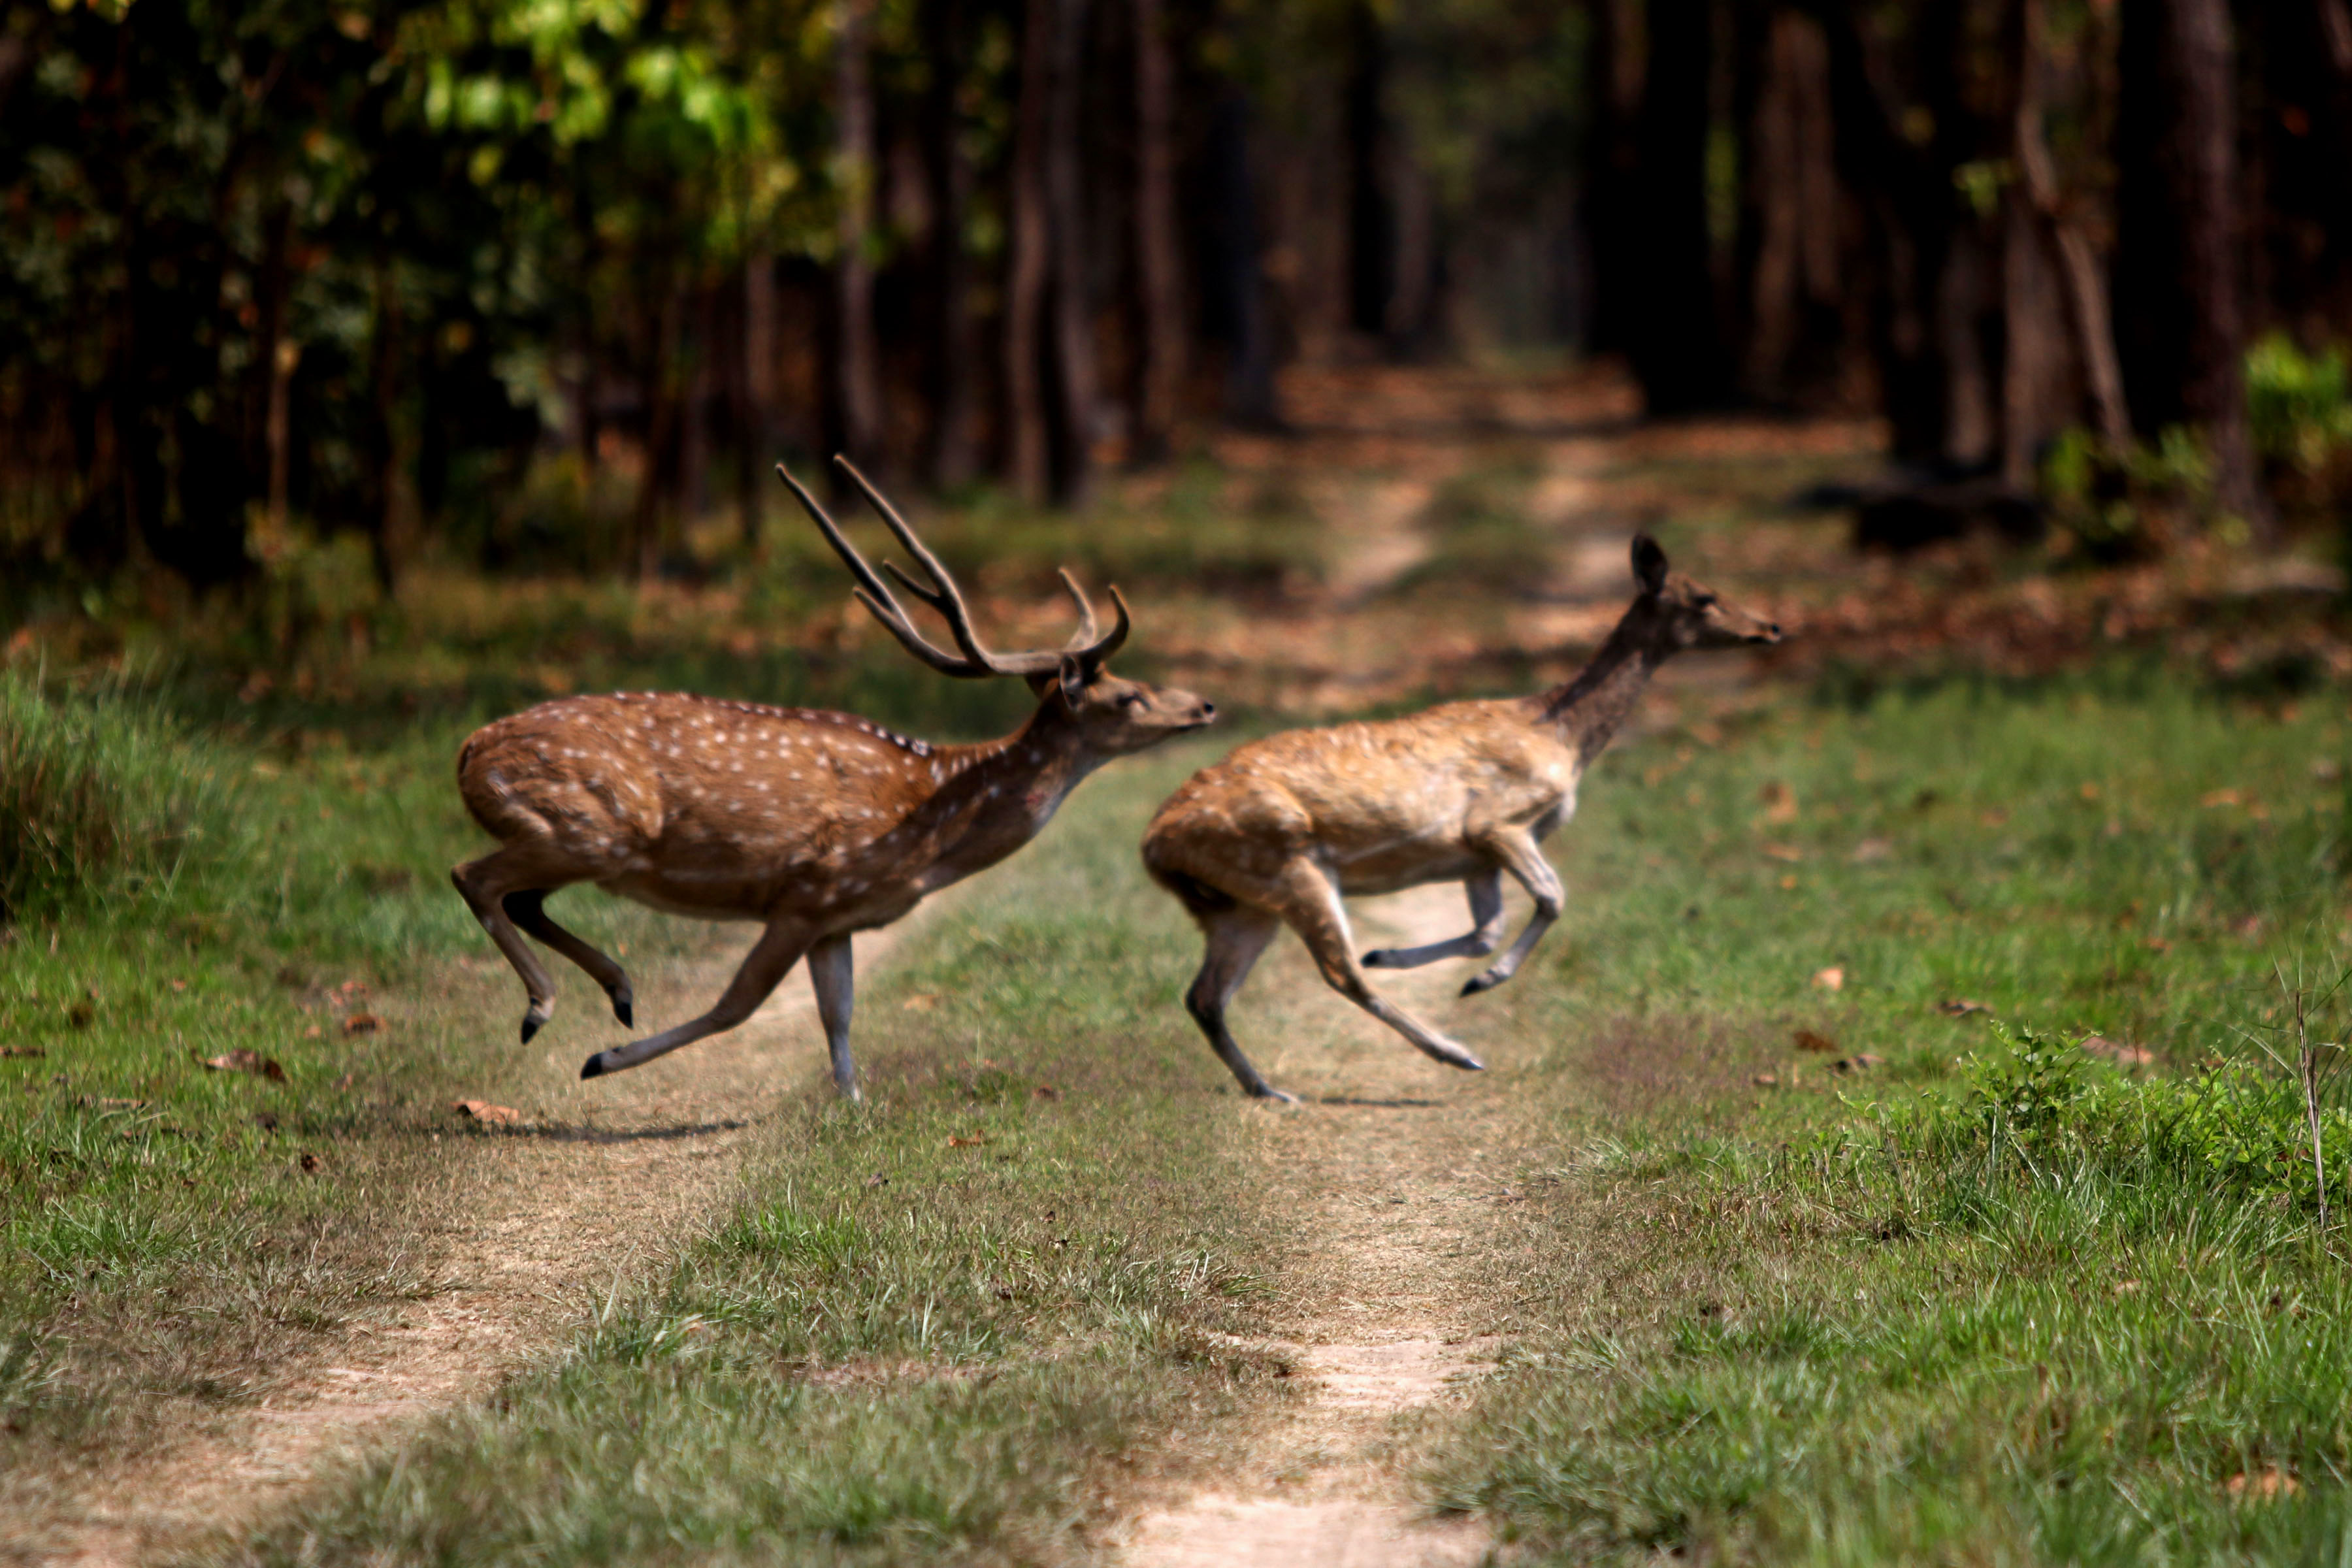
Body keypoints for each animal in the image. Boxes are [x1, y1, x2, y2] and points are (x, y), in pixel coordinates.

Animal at [450, 457, 1217, 1098]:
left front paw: (853, 1106)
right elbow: (737, 1006)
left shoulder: (836, 916)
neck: (930, 821)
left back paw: (619, 991)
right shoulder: (808, 890)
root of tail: (468, 752)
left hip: (579, 841)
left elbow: (839, 1016)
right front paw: (600, 1061)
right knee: (472, 875)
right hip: (589, 829)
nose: (1205, 705)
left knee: (521, 897)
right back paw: (545, 1010)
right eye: (1129, 696)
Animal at [1141, 535, 1779, 1101]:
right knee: (1337, 973)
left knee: (1205, 995)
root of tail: (1154, 846)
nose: (1771, 628)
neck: (1561, 737)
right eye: (1704, 597)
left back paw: (1270, 1089)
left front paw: (1416, 961)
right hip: (1287, 866)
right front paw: (1482, 981)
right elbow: (1552, 898)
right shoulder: (1499, 822)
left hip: (1240, 905)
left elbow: (1485, 930)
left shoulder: (1474, 858)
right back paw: (1457, 1054)